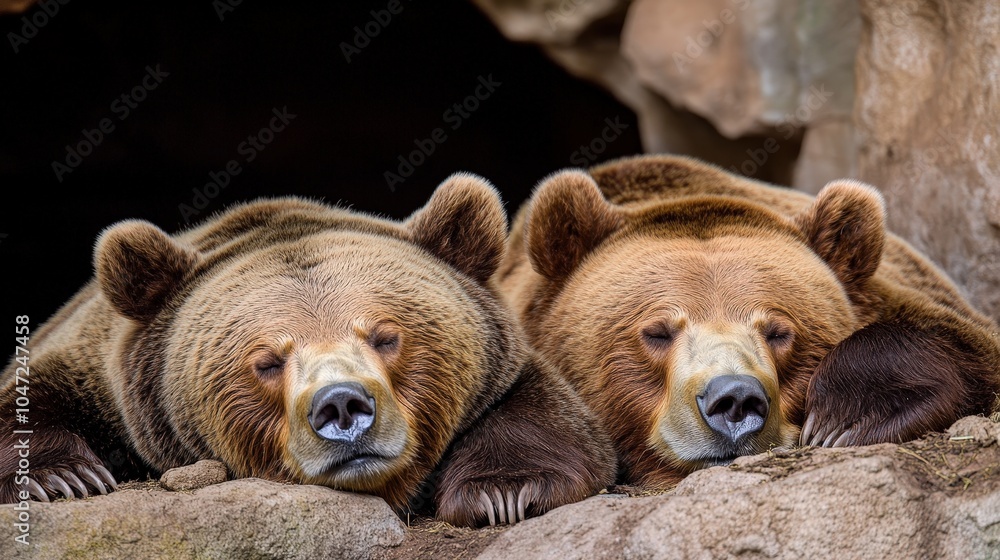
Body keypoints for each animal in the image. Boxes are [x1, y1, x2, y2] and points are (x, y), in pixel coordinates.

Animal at [0, 174, 616, 527]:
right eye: (268, 361)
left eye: (386, 336)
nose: (342, 405)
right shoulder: (102, 372)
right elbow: (30, 397)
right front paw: (59, 478)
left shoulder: (507, 362)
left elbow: (540, 413)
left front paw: (506, 491)